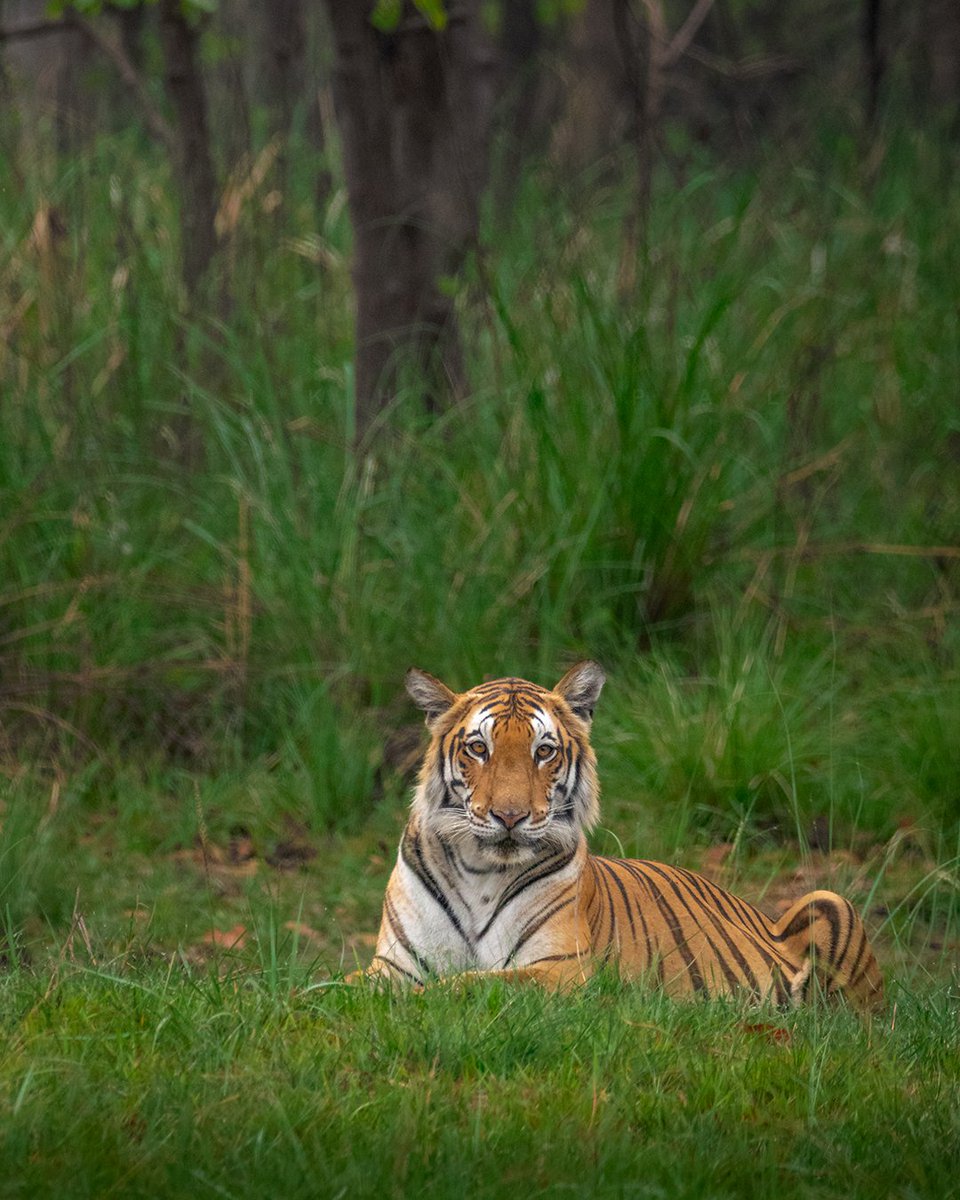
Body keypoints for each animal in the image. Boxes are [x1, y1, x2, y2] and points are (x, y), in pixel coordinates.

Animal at [360, 662, 883, 1008]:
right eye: (477, 749)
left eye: (543, 751)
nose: (510, 816)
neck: (480, 869)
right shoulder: (393, 965)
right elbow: (352, 984)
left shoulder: (563, 969)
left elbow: (469, 982)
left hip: (831, 901)